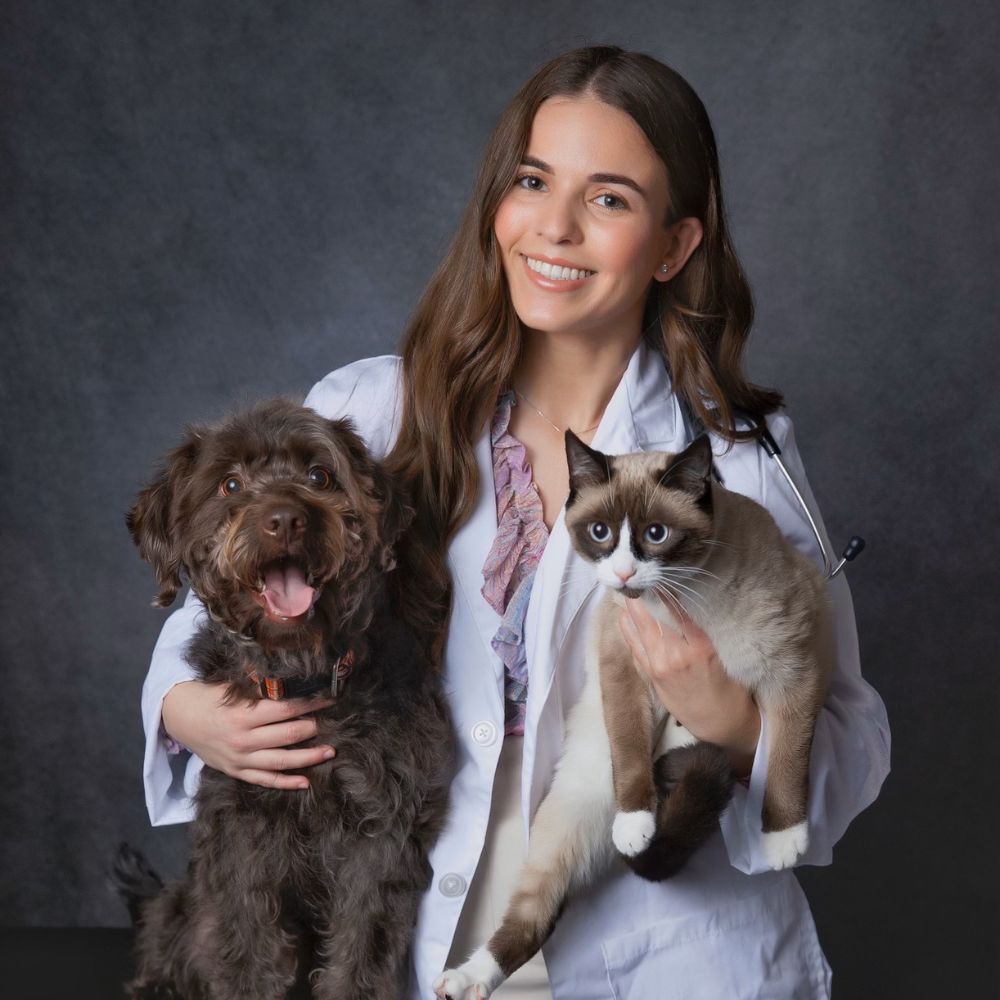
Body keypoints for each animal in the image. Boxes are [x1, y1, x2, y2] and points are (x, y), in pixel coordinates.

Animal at [117, 400, 454, 1000]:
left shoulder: (380, 829)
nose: (285, 519)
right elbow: (248, 944)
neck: (305, 674)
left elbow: (361, 949)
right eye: (229, 484)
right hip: (185, 906)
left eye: (320, 475)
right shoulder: (241, 827)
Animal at [434, 430, 832, 1000]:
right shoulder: (621, 664)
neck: (685, 601)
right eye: (600, 532)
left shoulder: (794, 673)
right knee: (532, 918)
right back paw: (467, 979)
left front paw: (782, 840)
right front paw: (635, 822)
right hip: (571, 813)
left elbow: (787, 758)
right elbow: (628, 748)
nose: (623, 573)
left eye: (656, 534)